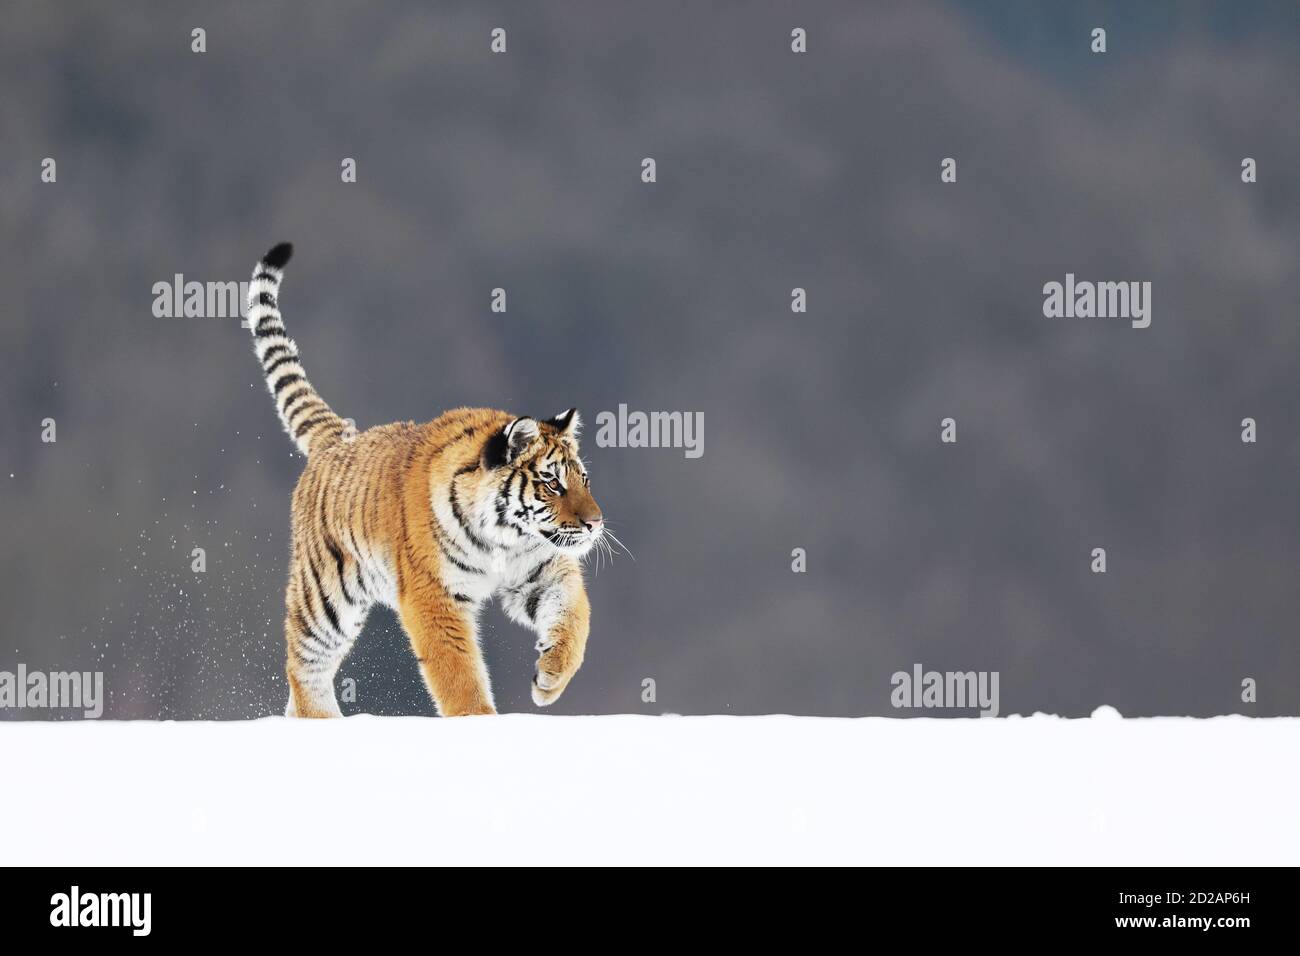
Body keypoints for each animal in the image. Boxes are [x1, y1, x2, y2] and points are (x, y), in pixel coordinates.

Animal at [244, 243, 603, 712]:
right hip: (327, 595)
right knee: (304, 667)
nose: (596, 524)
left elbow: (574, 614)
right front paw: (480, 718)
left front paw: (550, 678)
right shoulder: (433, 593)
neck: (504, 537)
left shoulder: (542, 569)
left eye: (583, 480)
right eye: (552, 483)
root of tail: (339, 437)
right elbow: (459, 675)